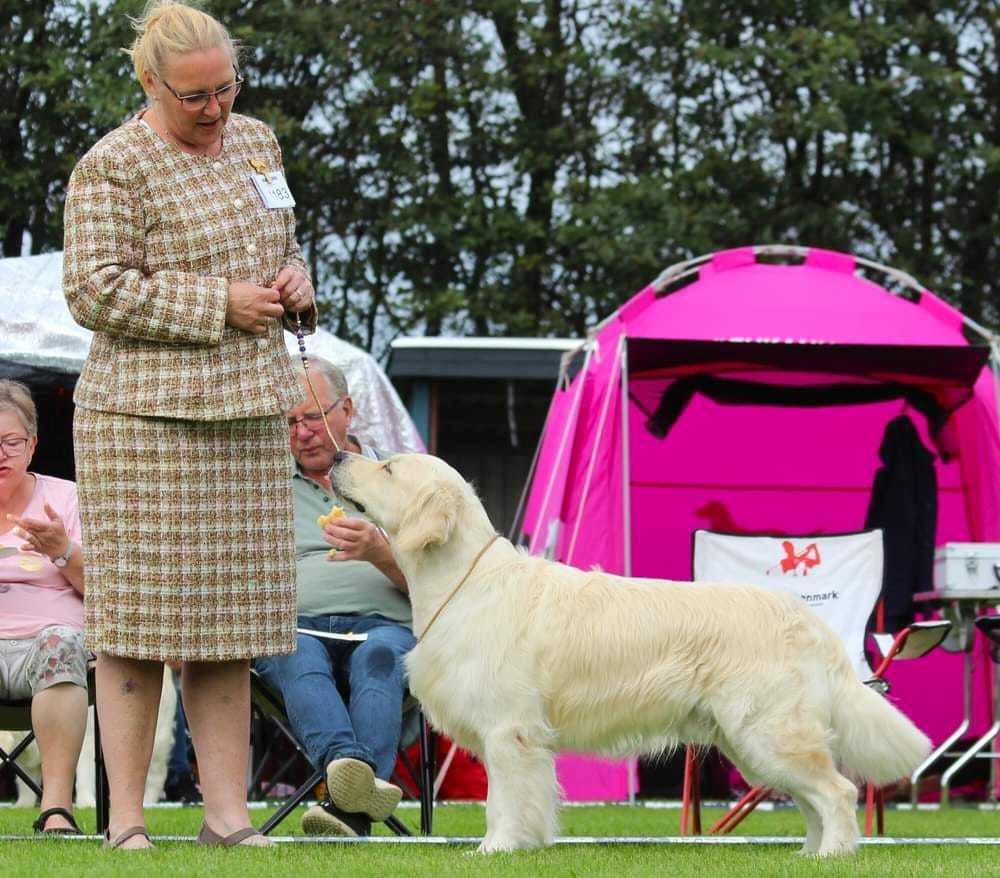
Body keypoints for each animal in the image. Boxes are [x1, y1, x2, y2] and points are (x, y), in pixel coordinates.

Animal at [332, 454, 932, 860]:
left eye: (388, 467)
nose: (338, 457)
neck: (464, 580)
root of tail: (806, 618)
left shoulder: (509, 731)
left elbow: (504, 800)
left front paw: (496, 848)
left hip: (768, 732)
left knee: (837, 791)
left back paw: (832, 854)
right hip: (754, 743)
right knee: (813, 797)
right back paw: (808, 854)